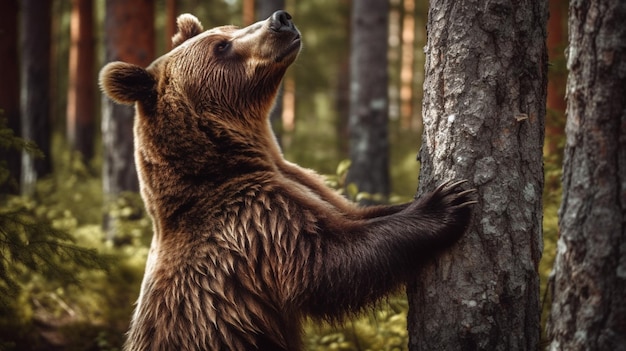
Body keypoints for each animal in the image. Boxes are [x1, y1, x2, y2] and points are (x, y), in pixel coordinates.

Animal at [100, 10, 476, 351]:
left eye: (231, 28)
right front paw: (448, 201)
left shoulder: (304, 183)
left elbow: (355, 215)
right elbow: (328, 260)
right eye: (221, 46)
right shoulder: (251, 222)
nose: (280, 19)